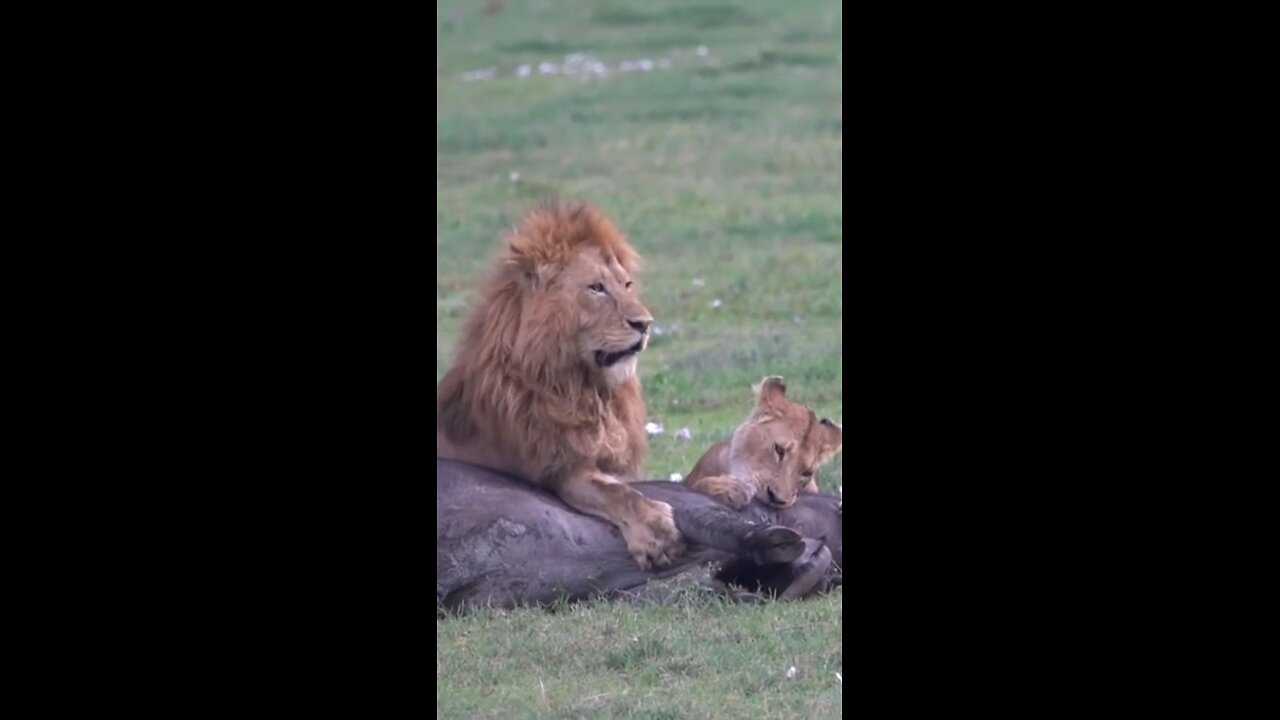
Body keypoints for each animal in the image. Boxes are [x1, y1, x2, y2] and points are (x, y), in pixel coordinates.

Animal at [437, 199, 686, 566]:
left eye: (627, 285)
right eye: (596, 288)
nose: (645, 324)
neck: (587, 390)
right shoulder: (558, 464)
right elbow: (615, 492)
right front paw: (656, 532)